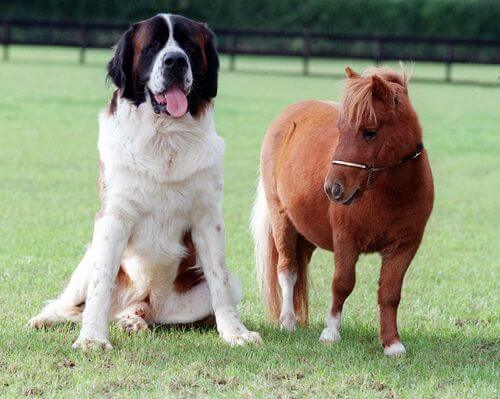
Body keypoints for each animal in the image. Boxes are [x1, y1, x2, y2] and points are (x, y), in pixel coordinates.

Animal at [27, 13, 262, 350]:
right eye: (152, 46)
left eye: (189, 46)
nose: (175, 61)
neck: (165, 137)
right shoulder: (113, 218)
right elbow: (100, 285)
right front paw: (92, 339)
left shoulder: (208, 219)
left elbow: (219, 283)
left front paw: (235, 333)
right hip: (87, 262)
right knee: (72, 303)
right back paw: (47, 318)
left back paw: (134, 321)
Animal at [254, 65, 434, 356]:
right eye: (340, 129)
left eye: (369, 132)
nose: (333, 188)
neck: (389, 193)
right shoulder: (345, 240)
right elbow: (342, 284)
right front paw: (330, 332)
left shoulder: (405, 246)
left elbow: (390, 293)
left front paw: (392, 343)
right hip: (282, 222)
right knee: (288, 269)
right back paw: (288, 322)